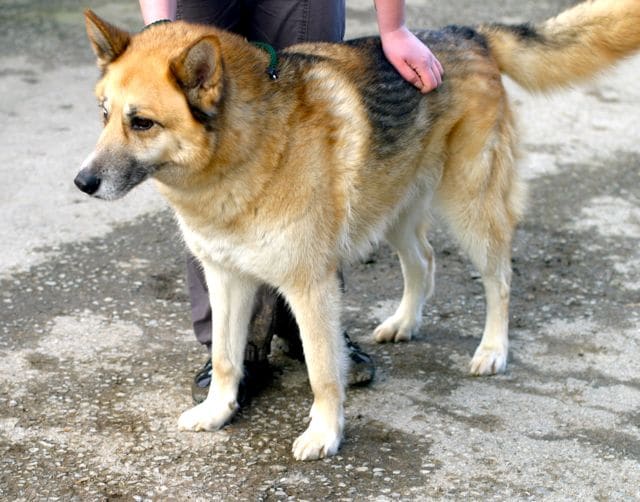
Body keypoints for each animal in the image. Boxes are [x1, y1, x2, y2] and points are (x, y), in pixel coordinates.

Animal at [75, 1, 640, 460]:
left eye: (142, 123)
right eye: (103, 115)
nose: (82, 182)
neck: (244, 150)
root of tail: (469, 34)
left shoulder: (309, 287)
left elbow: (325, 371)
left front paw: (324, 434)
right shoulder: (226, 279)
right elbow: (225, 358)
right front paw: (218, 411)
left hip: (470, 207)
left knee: (499, 280)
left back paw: (492, 350)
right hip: (394, 209)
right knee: (424, 261)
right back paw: (404, 322)